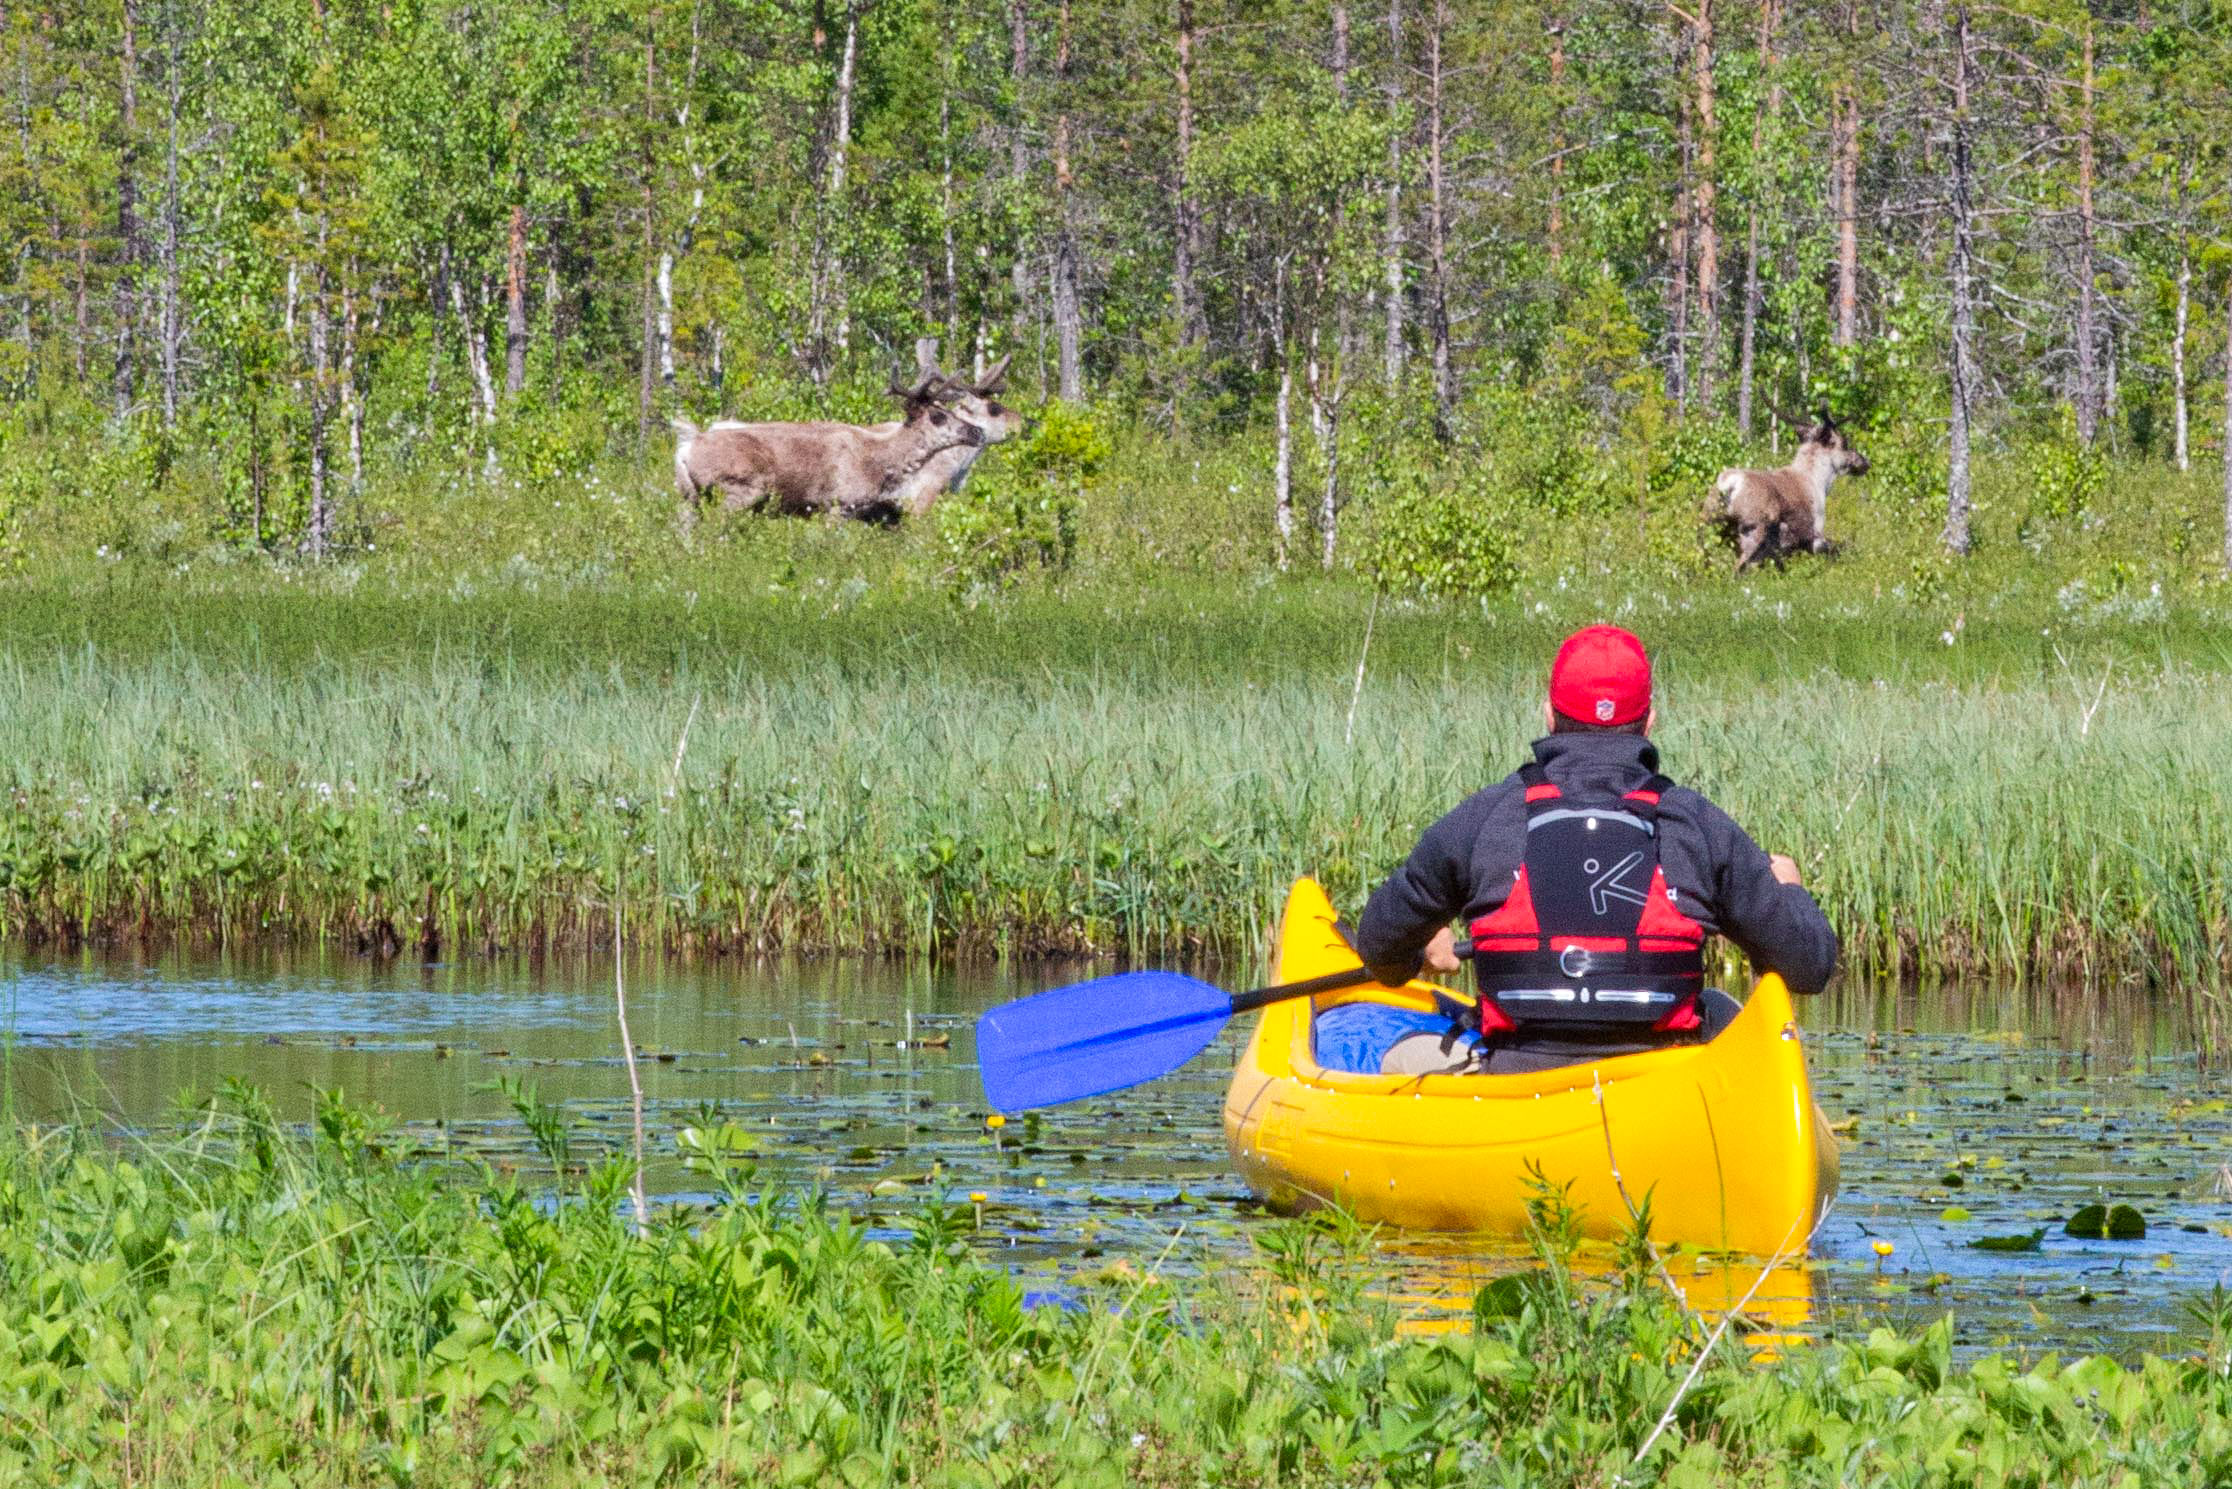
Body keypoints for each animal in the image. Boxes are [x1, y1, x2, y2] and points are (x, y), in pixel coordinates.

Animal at [1709, 410, 1870, 571]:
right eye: (1844, 443)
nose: (1865, 462)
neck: (1818, 481)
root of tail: (1729, 485)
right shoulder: (1815, 535)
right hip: (1751, 532)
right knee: (1738, 569)